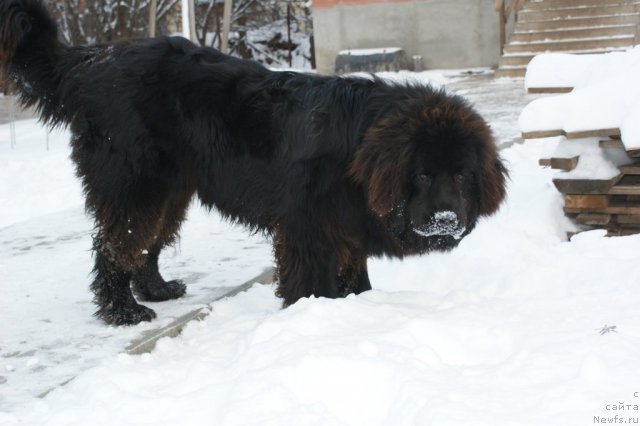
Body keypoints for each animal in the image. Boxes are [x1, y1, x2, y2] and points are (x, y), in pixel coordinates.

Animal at [1, 0, 510, 326]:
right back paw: (123, 312)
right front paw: (314, 316)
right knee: (115, 245)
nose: (445, 220)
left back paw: (157, 290)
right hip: (134, 185)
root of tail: (95, 59)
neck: (357, 152)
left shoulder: (344, 225)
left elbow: (356, 275)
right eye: (421, 175)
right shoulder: (308, 227)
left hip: (171, 191)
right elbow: (312, 283)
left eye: (461, 174)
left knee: (146, 244)